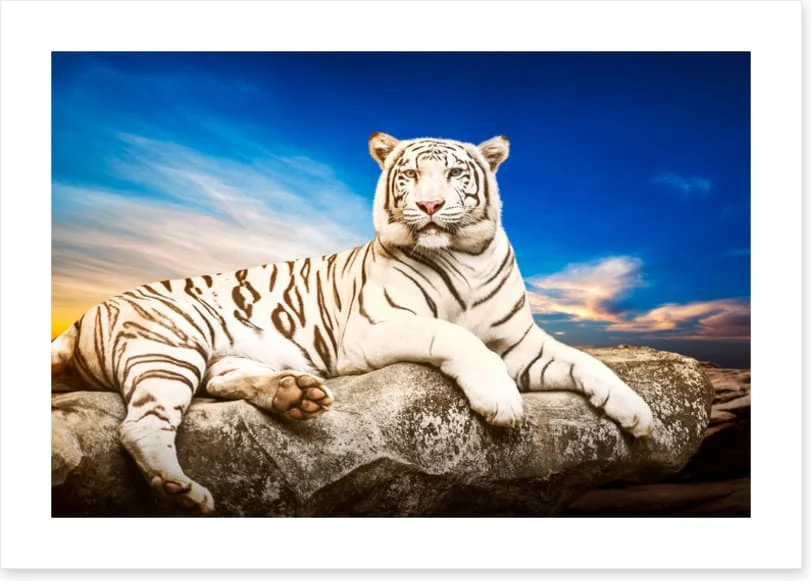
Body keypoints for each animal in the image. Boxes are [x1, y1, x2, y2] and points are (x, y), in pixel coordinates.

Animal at [51, 132, 654, 515]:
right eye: (410, 175)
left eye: (454, 174)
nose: (429, 206)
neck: (465, 255)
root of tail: (85, 313)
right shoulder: (374, 329)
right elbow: (454, 335)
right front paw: (500, 401)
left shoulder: (521, 344)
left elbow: (588, 364)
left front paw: (641, 415)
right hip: (170, 345)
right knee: (140, 424)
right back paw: (182, 490)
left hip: (205, 356)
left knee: (220, 382)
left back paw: (294, 395)